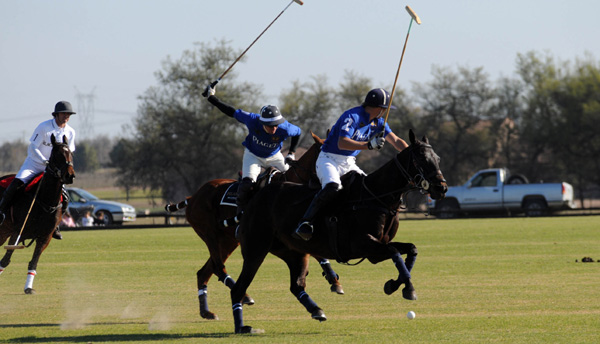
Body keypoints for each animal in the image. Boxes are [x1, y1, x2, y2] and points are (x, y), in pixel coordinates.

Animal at [164, 131, 344, 320]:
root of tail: (193, 196)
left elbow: (318, 254)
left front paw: (334, 281)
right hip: (209, 234)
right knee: (218, 267)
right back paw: (244, 296)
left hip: (228, 241)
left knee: (205, 271)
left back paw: (206, 312)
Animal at [232, 130, 448, 334]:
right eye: (421, 159)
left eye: (437, 158)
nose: (441, 188)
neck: (377, 197)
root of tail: (256, 195)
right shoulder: (365, 245)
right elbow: (396, 252)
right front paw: (407, 288)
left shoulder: (377, 249)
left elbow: (411, 249)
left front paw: (395, 285)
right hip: (255, 250)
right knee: (239, 287)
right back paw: (242, 327)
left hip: (295, 252)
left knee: (296, 285)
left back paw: (317, 311)